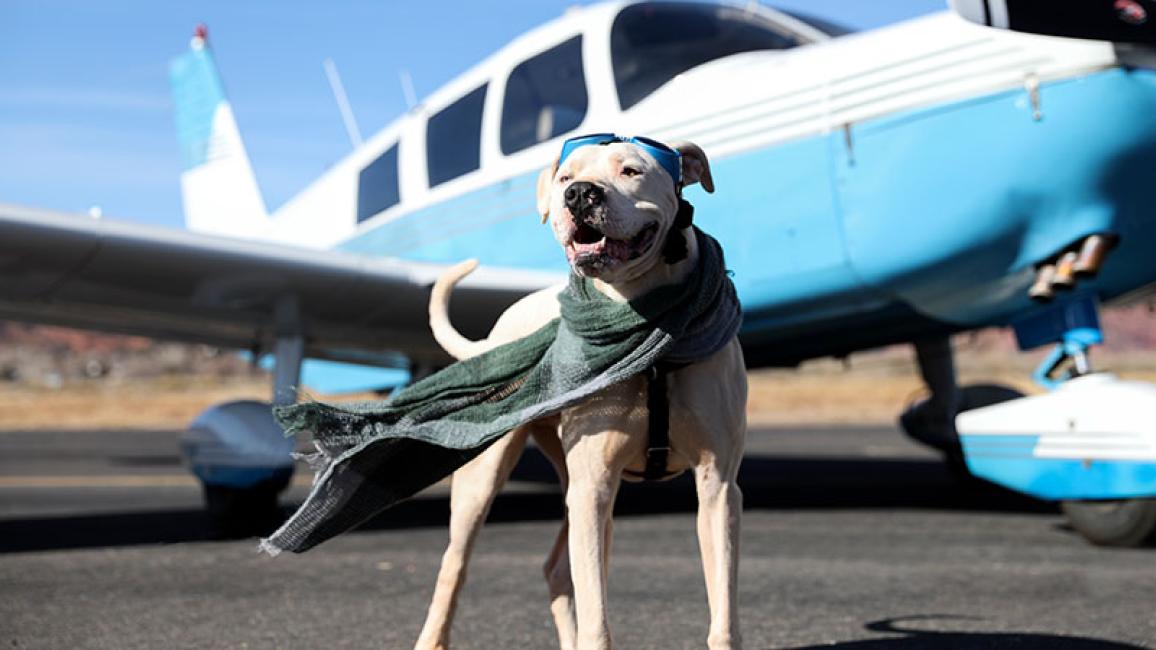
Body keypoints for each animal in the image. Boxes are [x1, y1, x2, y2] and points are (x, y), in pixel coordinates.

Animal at [416, 136, 749, 647]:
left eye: (631, 170)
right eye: (565, 178)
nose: (580, 195)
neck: (642, 319)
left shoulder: (719, 487)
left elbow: (724, 613)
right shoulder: (594, 485)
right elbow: (597, 615)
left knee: (556, 569)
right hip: (484, 483)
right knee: (455, 564)